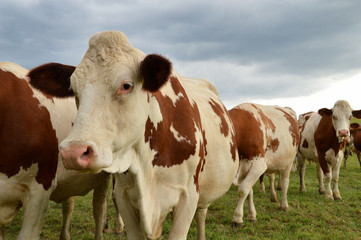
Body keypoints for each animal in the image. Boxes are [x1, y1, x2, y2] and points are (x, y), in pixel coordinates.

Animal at [26, 31, 238, 239]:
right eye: (73, 89)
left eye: (126, 85)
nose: (73, 152)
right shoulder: (124, 196)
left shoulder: (189, 196)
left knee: (202, 214)